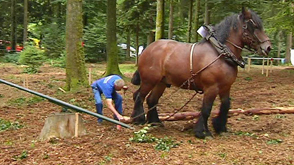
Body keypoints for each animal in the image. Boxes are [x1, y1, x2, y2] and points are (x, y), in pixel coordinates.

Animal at [130, 8, 272, 139]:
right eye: (253, 26)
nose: (268, 47)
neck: (220, 53)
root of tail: (147, 49)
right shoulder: (211, 87)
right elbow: (206, 109)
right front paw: (203, 132)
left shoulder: (225, 87)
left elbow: (226, 105)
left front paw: (220, 127)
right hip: (149, 80)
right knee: (139, 96)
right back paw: (138, 119)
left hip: (161, 82)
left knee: (152, 99)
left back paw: (155, 122)